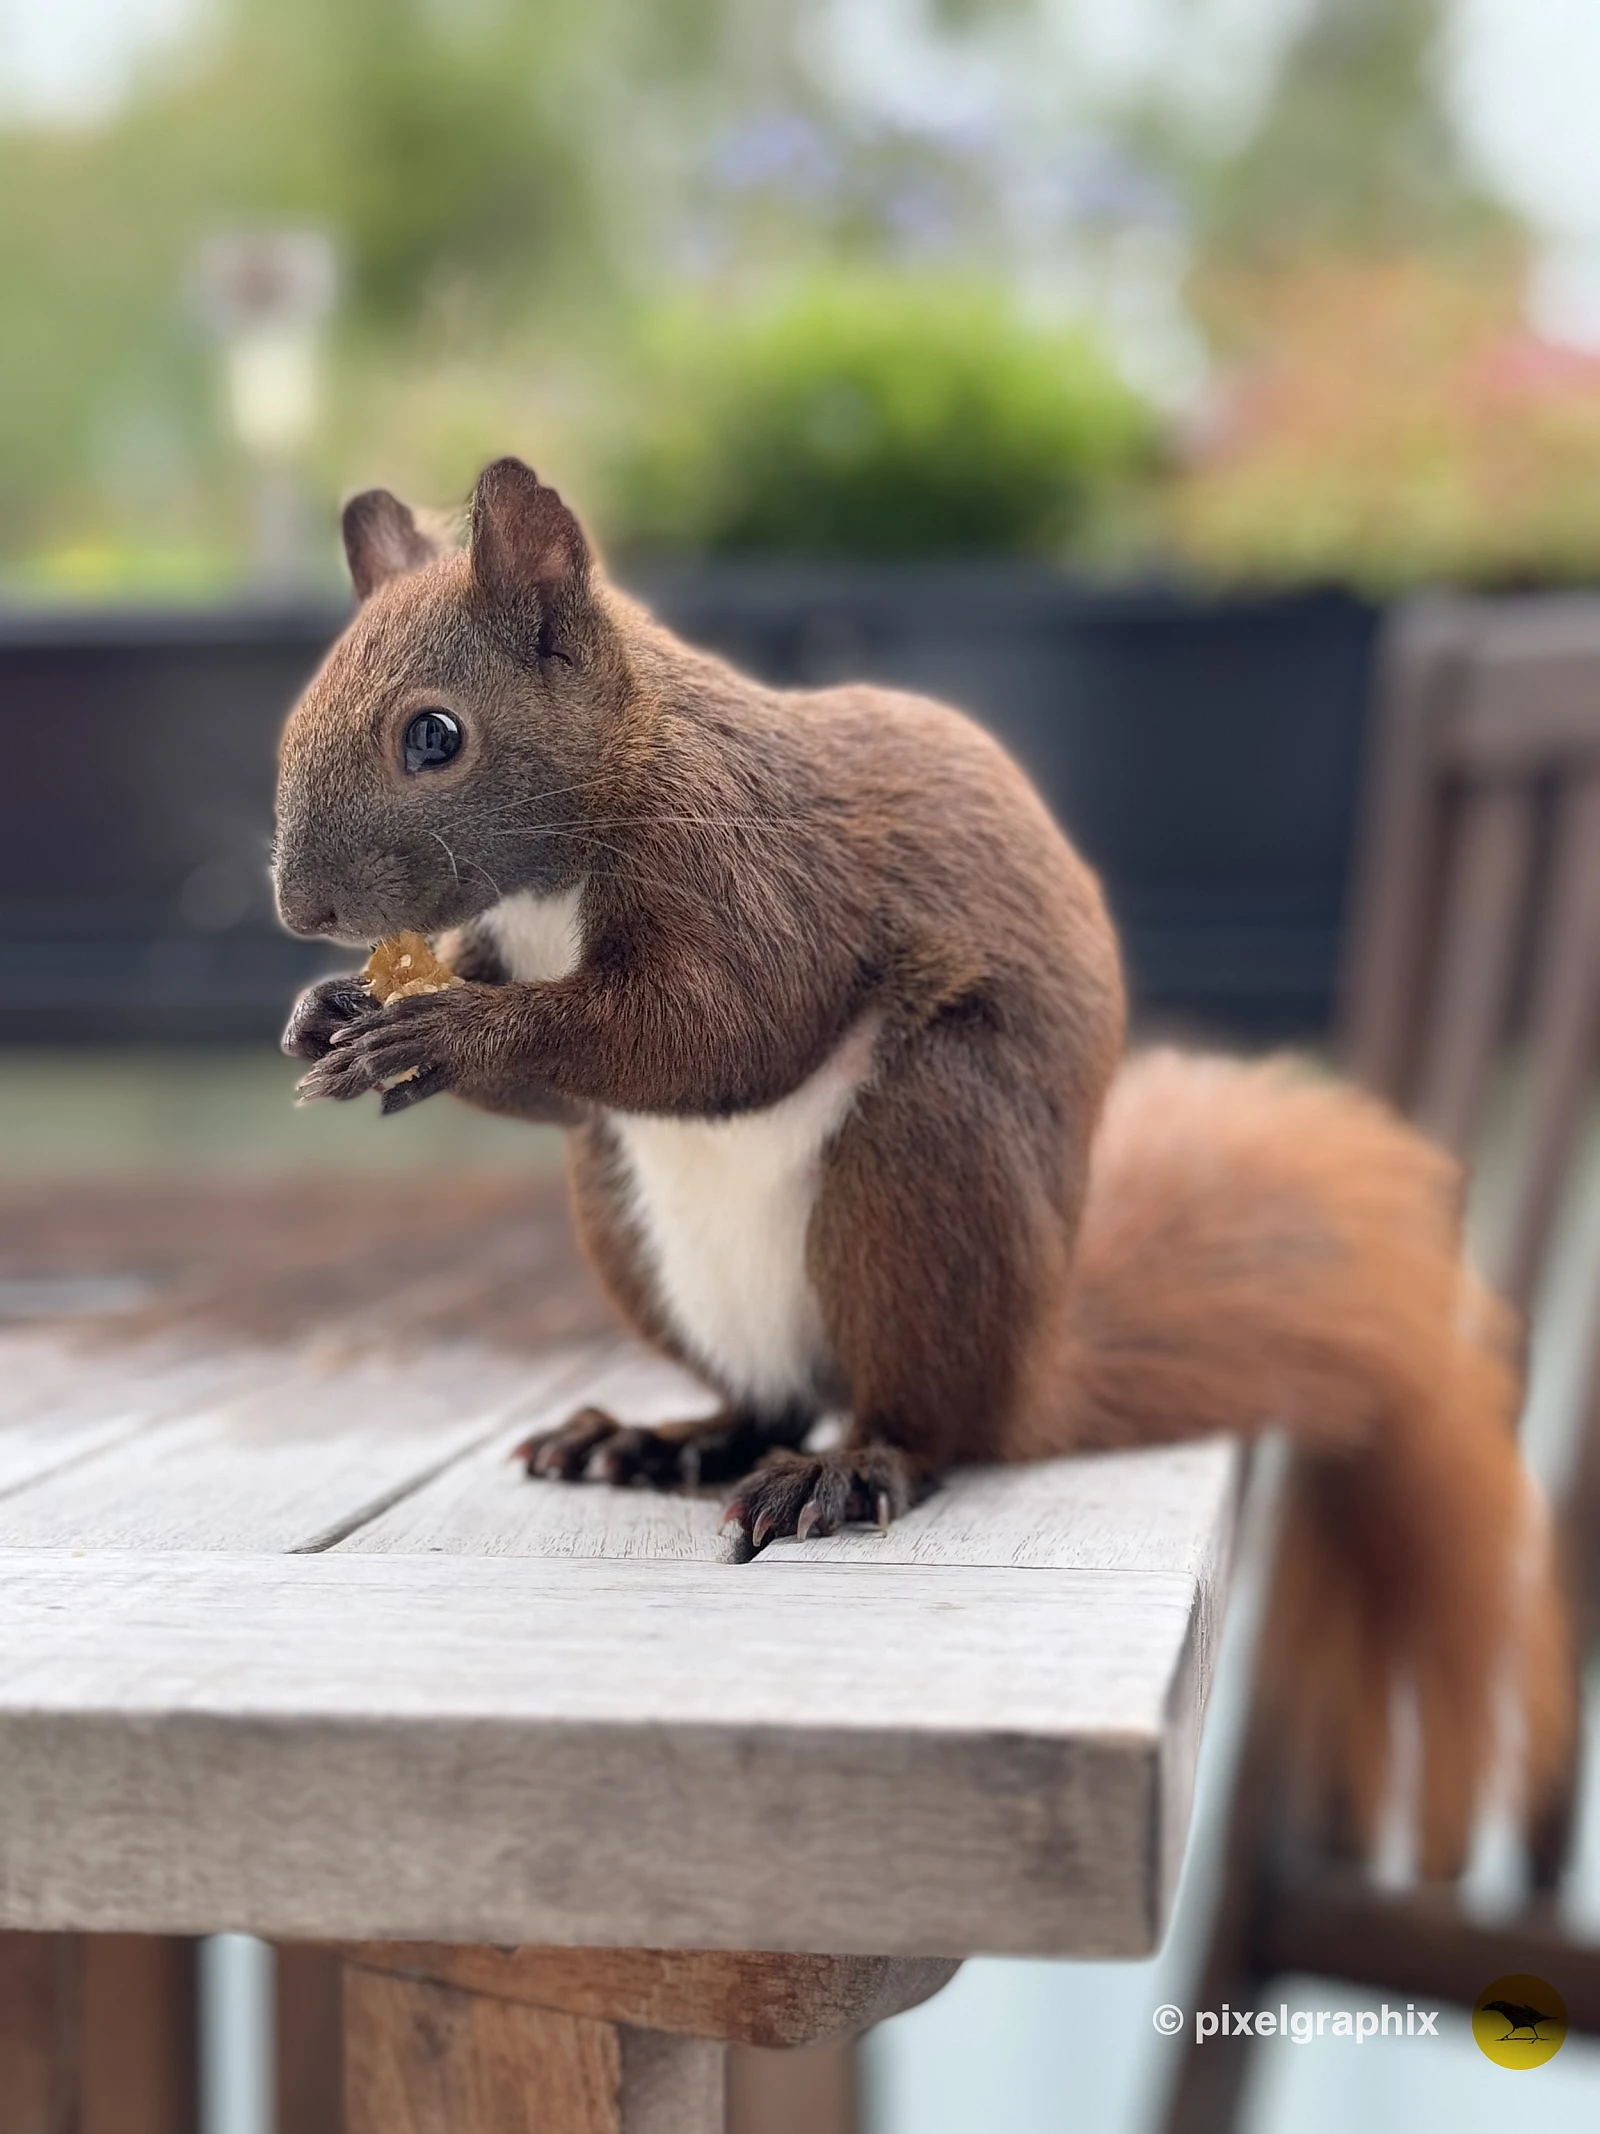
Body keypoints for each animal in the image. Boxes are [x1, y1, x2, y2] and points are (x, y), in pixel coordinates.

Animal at [274, 455, 1571, 1879]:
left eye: (433, 736)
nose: (298, 909)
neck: (606, 803)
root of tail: (1032, 1366)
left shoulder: (752, 872)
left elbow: (714, 1033)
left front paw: (442, 1028)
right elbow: (568, 1089)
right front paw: (333, 1015)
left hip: (922, 1166)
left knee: (925, 1421)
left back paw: (849, 1469)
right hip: (633, 1223)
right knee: (763, 1397)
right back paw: (659, 1442)